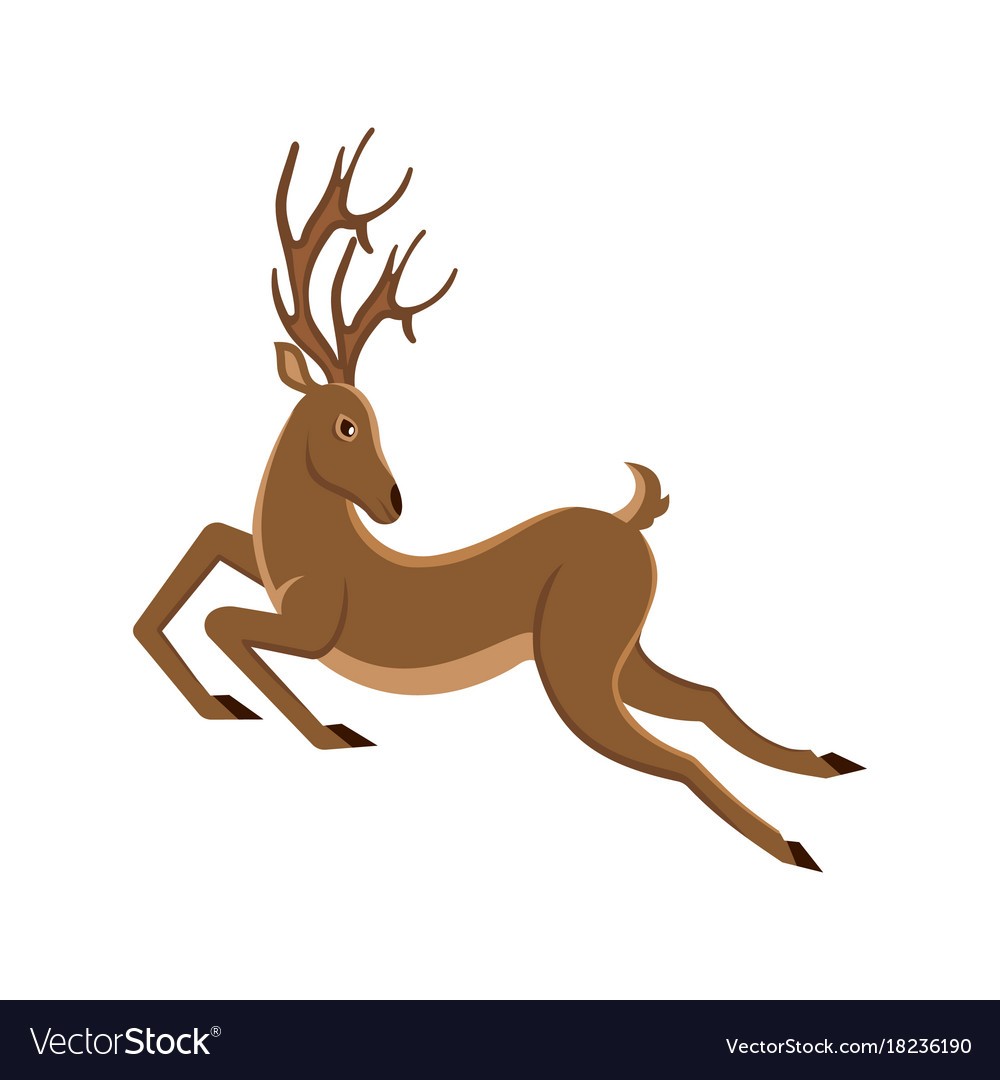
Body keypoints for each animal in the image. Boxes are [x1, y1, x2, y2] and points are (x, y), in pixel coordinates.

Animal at [135, 129, 863, 871]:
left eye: (365, 421)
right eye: (347, 424)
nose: (393, 502)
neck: (307, 545)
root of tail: (632, 526)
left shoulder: (315, 628)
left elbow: (222, 620)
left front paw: (327, 730)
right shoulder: (268, 579)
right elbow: (208, 550)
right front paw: (225, 706)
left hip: (577, 668)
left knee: (678, 754)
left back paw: (791, 847)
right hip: (618, 656)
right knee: (707, 699)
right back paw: (826, 764)